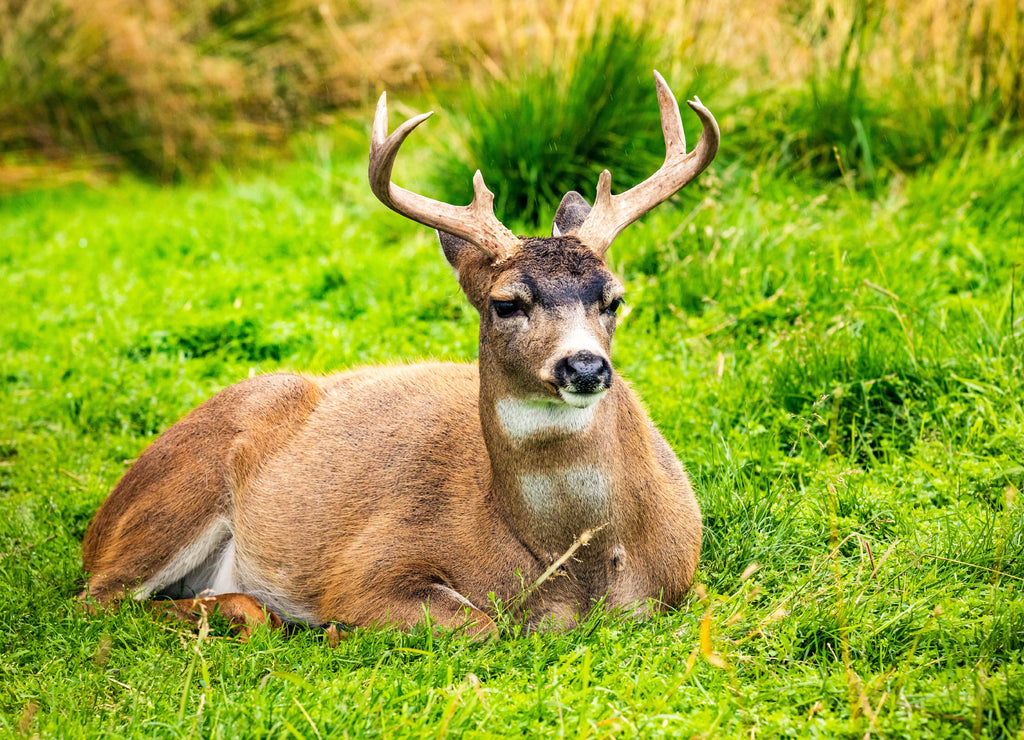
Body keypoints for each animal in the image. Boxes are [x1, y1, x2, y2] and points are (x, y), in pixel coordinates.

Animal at [79, 71, 720, 638]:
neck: (578, 567)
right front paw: (332, 628)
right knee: (101, 599)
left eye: (614, 298)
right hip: (173, 498)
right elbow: (480, 624)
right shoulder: (365, 567)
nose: (584, 366)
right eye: (506, 303)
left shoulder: (685, 578)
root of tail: (95, 529)